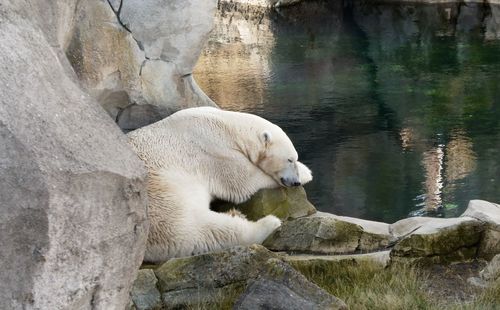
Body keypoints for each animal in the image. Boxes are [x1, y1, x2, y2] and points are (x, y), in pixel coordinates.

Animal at [127, 107, 310, 264]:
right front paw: (306, 172)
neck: (229, 128)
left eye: (294, 158)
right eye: (289, 159)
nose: (295, 182)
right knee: (198, 230)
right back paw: (268, 223)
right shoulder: (214, 151)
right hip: (160, 203)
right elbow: (243, 179)